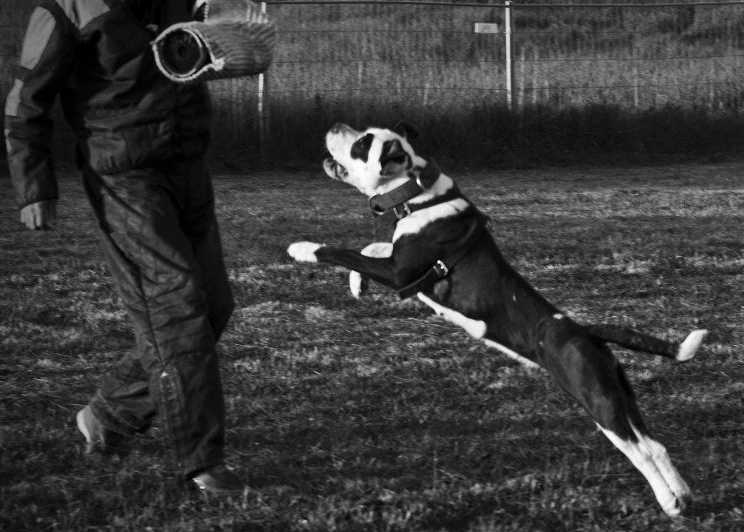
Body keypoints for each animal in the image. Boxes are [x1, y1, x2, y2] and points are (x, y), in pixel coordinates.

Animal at [286, 122, 708, 516]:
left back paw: (668, 503)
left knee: (642, 451)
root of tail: (586, 333)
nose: (336, 126)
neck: (414, 195)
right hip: (620, 398)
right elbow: (370, 247)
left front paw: (303, 249)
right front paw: (356, 284)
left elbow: (344, 251)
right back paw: (682, 496)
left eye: (364, 142)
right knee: (656, 444)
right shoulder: (396, 264)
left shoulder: (400, 273)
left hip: (597, 401)